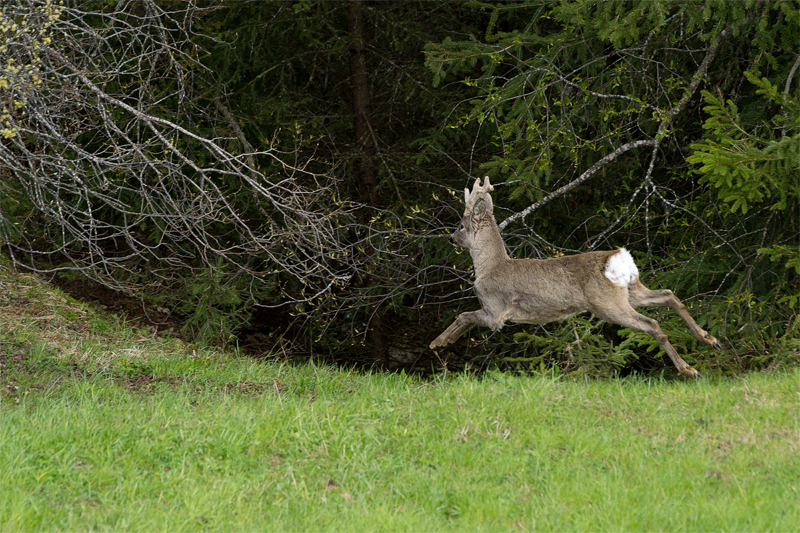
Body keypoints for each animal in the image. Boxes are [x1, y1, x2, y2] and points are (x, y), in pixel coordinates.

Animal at [432, 177, 724, 376]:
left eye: (460, 225)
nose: (450, 238)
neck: (490, 266)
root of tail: (616, 258)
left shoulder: (495, 311)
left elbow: (464, 315)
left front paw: (438, 342)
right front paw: (442, 342)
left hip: (607, 304)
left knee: (652, 323)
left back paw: (690, 369)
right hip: (631, 291)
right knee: (669, 295)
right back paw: (710, 340)